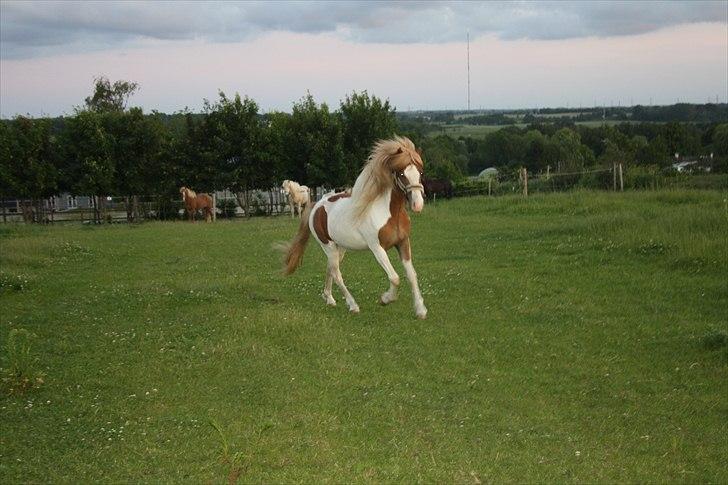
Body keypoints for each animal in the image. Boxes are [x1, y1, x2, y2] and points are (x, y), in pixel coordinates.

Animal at [278, 134, 426, 320]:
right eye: (401, 173)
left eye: (420, 172)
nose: (417, 204)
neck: (390, 214)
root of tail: (317, 205)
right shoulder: (377, 248)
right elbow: (394, 278)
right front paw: (385, 299)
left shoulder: (403, 243)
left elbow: (411, 275)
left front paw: (420, 310)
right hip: (327, 245)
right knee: (337, 273)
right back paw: (353, 305)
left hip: (340, 248)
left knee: (331, 268)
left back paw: (329, 298)